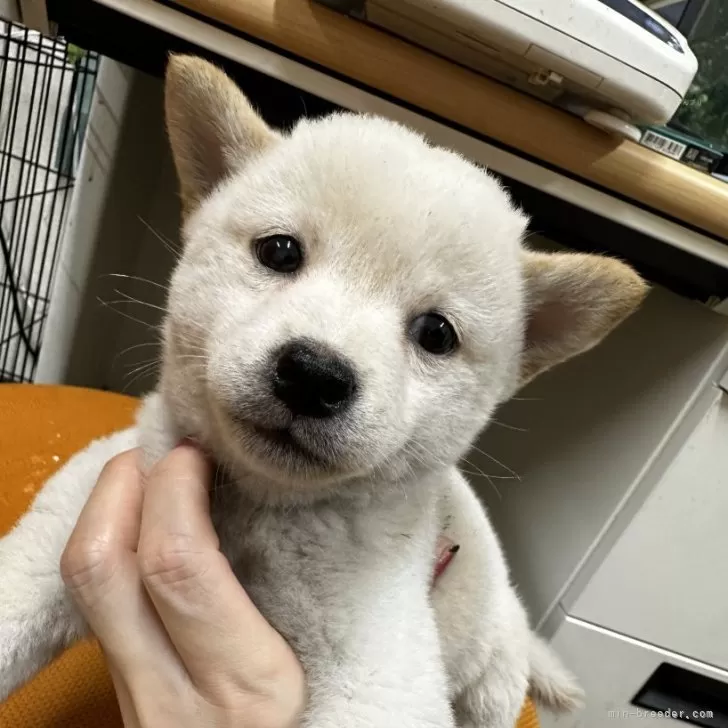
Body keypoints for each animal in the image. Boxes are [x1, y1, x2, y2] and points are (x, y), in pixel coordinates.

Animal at [2, 57, 644, 728]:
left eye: (436, 334)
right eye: (280, 251)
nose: (314, 374)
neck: (257, 511)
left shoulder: (382, 670)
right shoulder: (72, 519)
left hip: (492, 683)